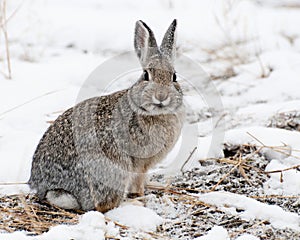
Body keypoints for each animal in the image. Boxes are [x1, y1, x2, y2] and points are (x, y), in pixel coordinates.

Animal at [29, 20, 184, 212]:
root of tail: (54, 188)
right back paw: (133, 203)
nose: (161, 97)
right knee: (105, 205)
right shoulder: (140, 163)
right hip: (114, 170)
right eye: (146, 75)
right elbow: (138, 182)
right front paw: (141, 195)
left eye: (174, 77)